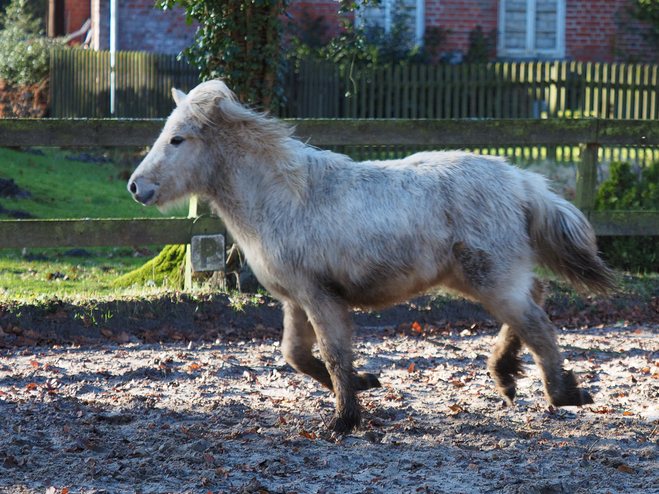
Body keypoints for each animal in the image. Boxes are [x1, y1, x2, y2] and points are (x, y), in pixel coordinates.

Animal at [130, 81, 620, 432]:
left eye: (177, 139)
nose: (136, 187)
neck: (282, 198)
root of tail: (520, 181)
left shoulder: (321, 298)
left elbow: (332, 353)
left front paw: (343, 421)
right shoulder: (297, 300)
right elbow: (296, 355)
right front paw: (365, 384)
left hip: (492, 280)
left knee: (537, 324)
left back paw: (564, 393)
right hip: (487, 277)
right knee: (534, 300)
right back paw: (507, 376)